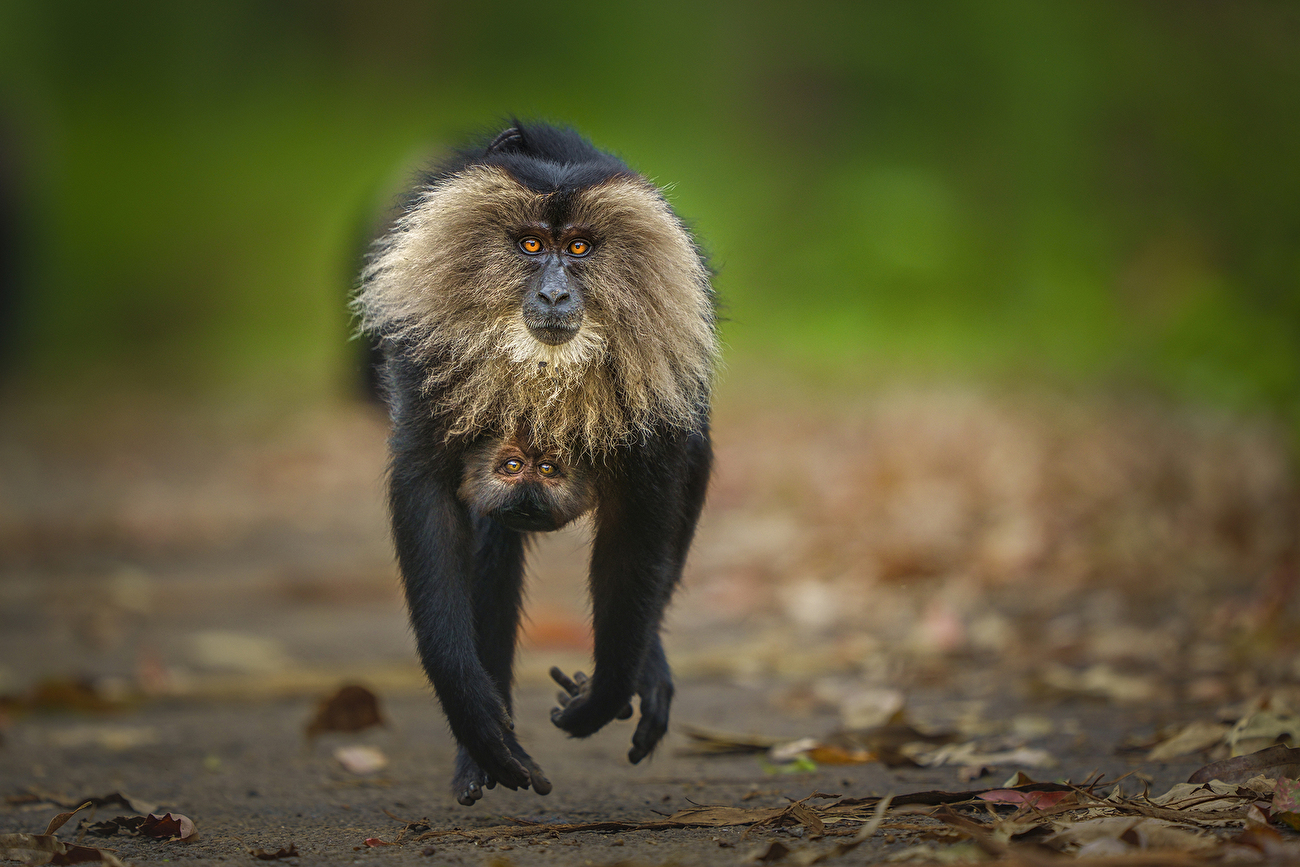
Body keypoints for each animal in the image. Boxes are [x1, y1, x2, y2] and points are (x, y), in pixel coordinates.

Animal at [355, 122, 717, 806]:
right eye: (530, 245)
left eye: (577, 248)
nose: (553, 292)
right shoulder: (428, 359)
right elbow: (430, 496)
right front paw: (475, 719)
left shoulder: (660, 384)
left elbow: (640, 531)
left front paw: (607, 691)